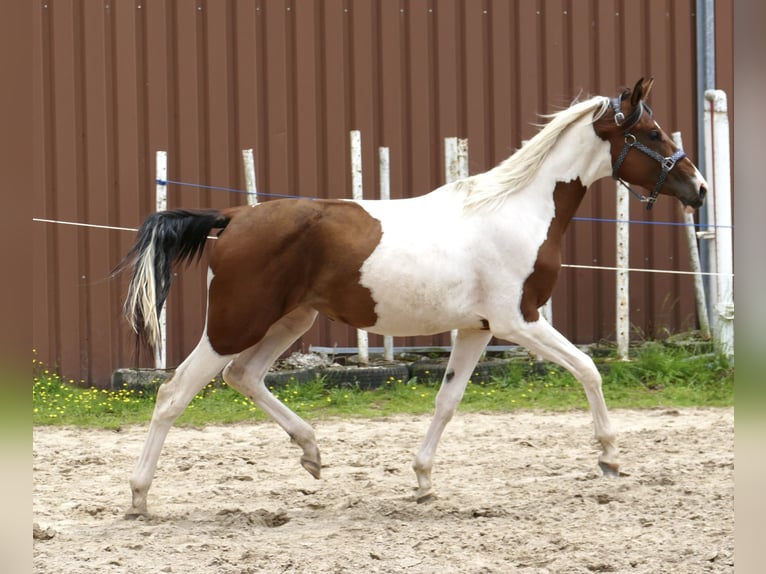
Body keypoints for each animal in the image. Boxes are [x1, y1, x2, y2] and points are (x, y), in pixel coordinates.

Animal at [117, 76, 712, 516]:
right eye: (652, 132)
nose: (700, 189)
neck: (518, 210)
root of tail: (234, 216)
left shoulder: (477, 329)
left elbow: (447, 401)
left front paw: (423, 481)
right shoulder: (520, 321)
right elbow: (588, 368)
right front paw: (610, 458)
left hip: (292, 321)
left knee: (244, 376)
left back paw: (311, 453)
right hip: (235, 323)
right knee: (174, 392)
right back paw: (140, 497)